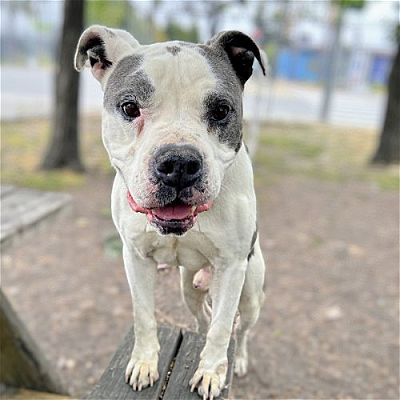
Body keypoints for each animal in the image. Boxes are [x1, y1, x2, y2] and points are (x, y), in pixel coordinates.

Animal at [73, 25, 268, 400]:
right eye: (129, 107)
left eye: (221, 110)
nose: (179, 163)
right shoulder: (135, 257)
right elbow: (144, 315)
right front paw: (144, 363)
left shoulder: (233, 266)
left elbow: (223, 327)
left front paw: (211, 372)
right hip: (188, 288)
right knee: (203, 317)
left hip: (251, 294)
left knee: (241, 329)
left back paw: (236, 360)